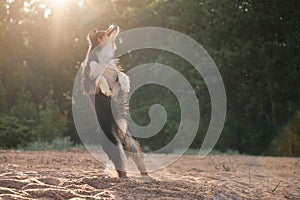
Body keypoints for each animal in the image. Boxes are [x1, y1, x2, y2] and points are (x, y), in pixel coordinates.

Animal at [81, 23, 148, 178]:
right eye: (103, 31)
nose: (115, 24)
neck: (103, 57)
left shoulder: (115, 73)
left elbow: (121, 74)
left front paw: (125, 84)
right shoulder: (87, 83)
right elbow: (100, 78)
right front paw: (106, 89)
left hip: (131, 142)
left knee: (139, 161)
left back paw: (148, 177)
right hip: (114, 144)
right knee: (120, 164)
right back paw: (124, 178)